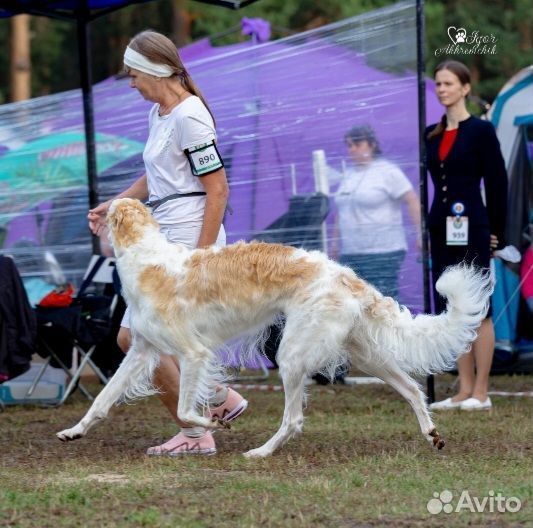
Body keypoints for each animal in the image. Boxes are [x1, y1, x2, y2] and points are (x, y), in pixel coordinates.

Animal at [57, 198, 490, 458]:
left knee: (294, 420)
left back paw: (262, 451)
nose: (90, 214)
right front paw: (73, 431)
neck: (147, 259)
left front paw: (213, 422)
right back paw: (431, 432)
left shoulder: (193, 352)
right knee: (414, 389)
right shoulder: (142, 349)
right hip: (365, 355)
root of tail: (345, 275)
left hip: (293, 355)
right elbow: (102, 400)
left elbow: (185, 407)